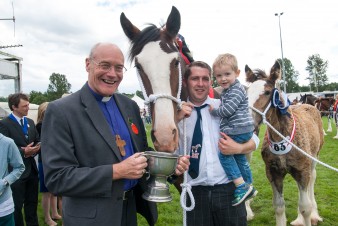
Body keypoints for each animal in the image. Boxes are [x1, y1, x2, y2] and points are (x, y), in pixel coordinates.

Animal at [247, 61, 324, 226]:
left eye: (267, 92)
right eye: (246, 92)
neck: (282, 138)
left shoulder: (302, 170)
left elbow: (305, 207)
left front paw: (309, 215)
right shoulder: (273, 172)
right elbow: (279, 206)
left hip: (314, 158)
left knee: (312, 180)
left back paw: (314, 214)